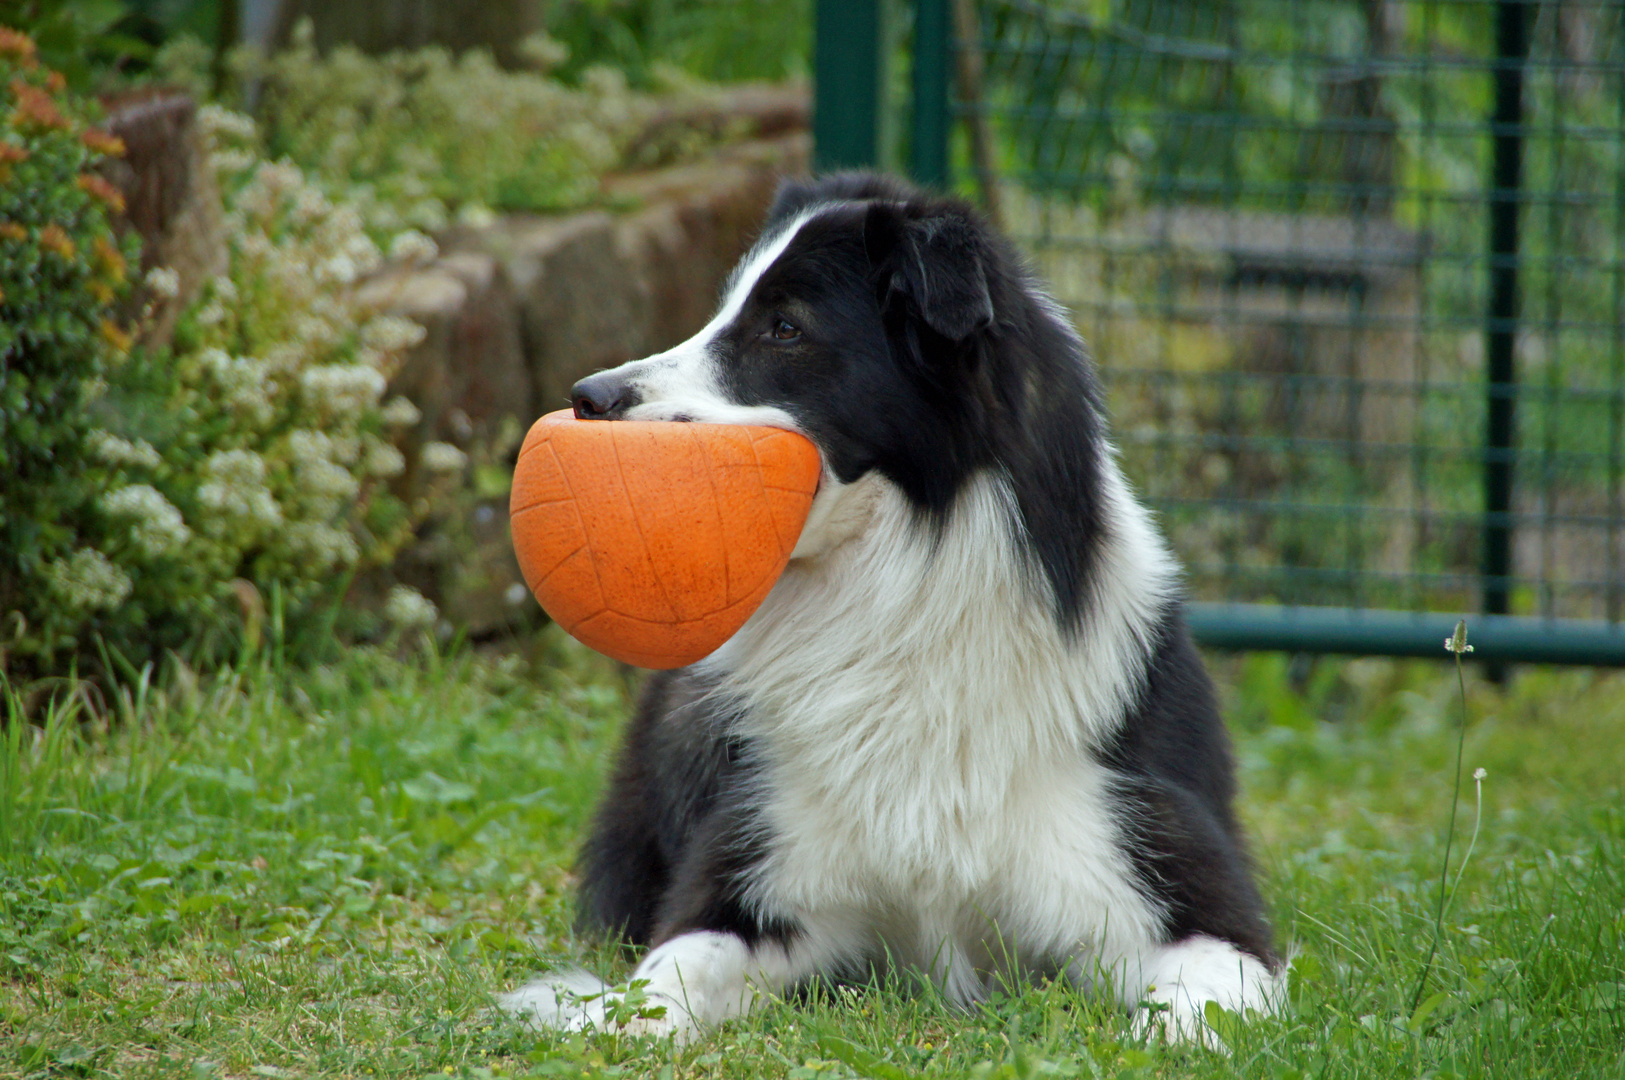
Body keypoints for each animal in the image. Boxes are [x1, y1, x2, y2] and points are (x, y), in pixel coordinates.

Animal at [503, 172, 1280, 1039]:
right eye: (722, 310)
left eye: (784, 328)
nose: (586, 395)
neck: (895, 609)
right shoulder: (752, 870)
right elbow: (663, 979)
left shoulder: (1166, 880)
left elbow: (1203, 1008)